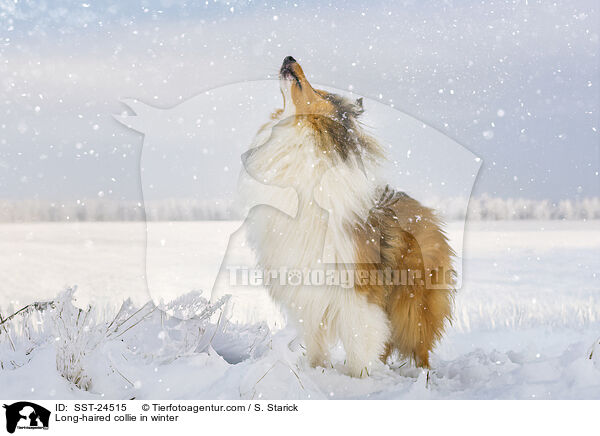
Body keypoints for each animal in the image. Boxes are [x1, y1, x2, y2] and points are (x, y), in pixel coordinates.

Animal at [241, 55, 452, 378]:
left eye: (321, 92)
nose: (289, 57)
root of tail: (423, 209)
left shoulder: (357, 291)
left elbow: (359, 342)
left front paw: (358, 380)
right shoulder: (307, 292)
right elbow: (316, 342)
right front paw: (316, 372)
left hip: (412, 303)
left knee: (420, 346)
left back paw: (421, 379)